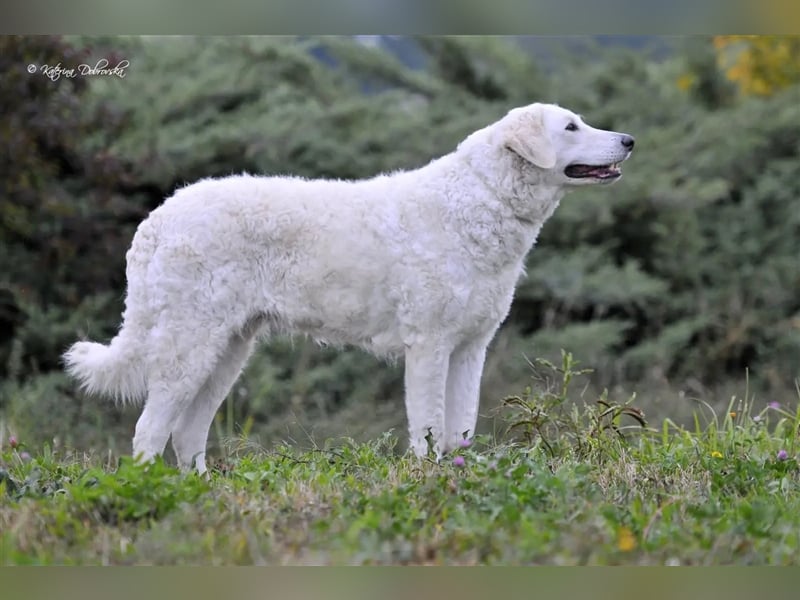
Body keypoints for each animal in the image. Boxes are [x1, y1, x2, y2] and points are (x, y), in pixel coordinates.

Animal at [62, 103, 636, 474]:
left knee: (185, 433)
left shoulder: (472, 348)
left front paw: (457, 478)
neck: (480, 200)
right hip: (189, 346)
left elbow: (461, 429)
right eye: (571, 126)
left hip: (228, 351)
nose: (630, 140)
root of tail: (158, 217)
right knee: (149, 432)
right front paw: (426, 482)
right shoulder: (428, 345)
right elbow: (427, 426)